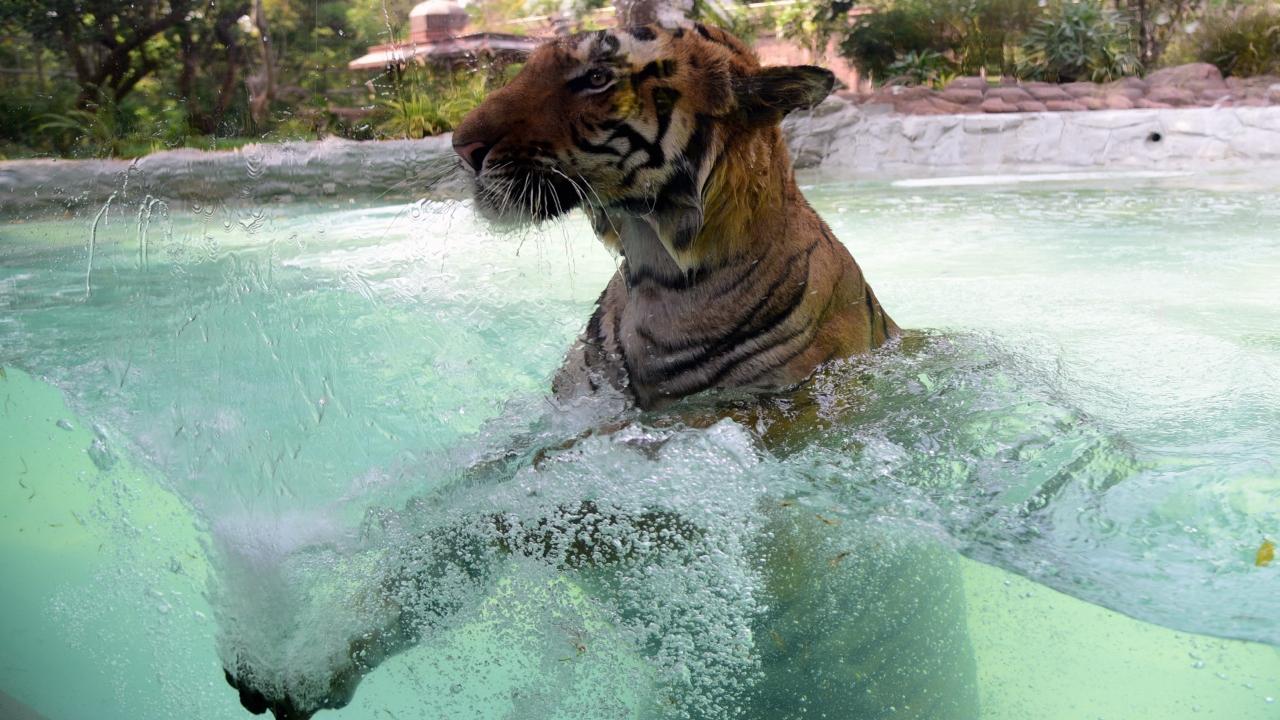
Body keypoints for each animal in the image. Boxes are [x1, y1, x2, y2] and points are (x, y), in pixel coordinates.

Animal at [223, 22, 977, 720]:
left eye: (593, 78)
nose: (460, 147)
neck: (656, 277)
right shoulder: (563, 412)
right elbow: (450, 510)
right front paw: (302, 652)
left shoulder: (714, 487)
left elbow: (507, 510)